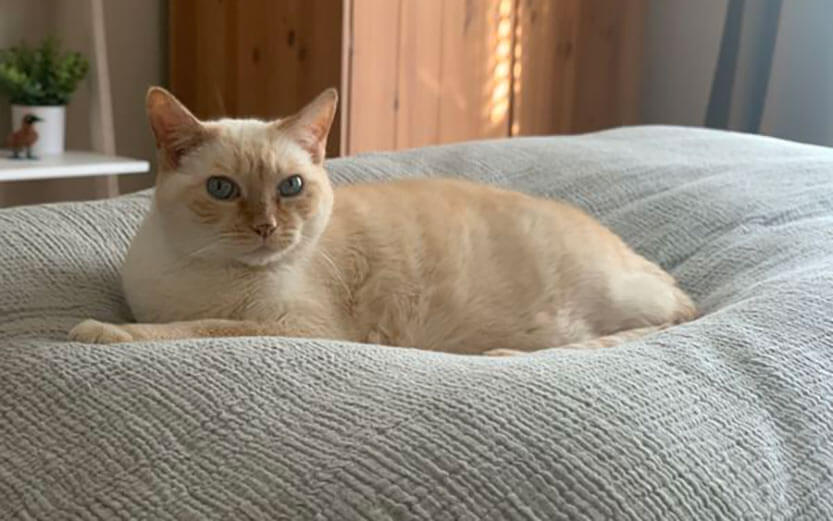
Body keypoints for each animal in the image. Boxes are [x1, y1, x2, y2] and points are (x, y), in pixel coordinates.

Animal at [70, 86, 696, 354]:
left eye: (290, 187)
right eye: (222, 190)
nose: (267, 228)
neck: (201, 271)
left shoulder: (298, 327)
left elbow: (192, 328)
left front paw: (97, 331)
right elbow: (177, 322)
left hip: (616, 305)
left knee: (648, 330)